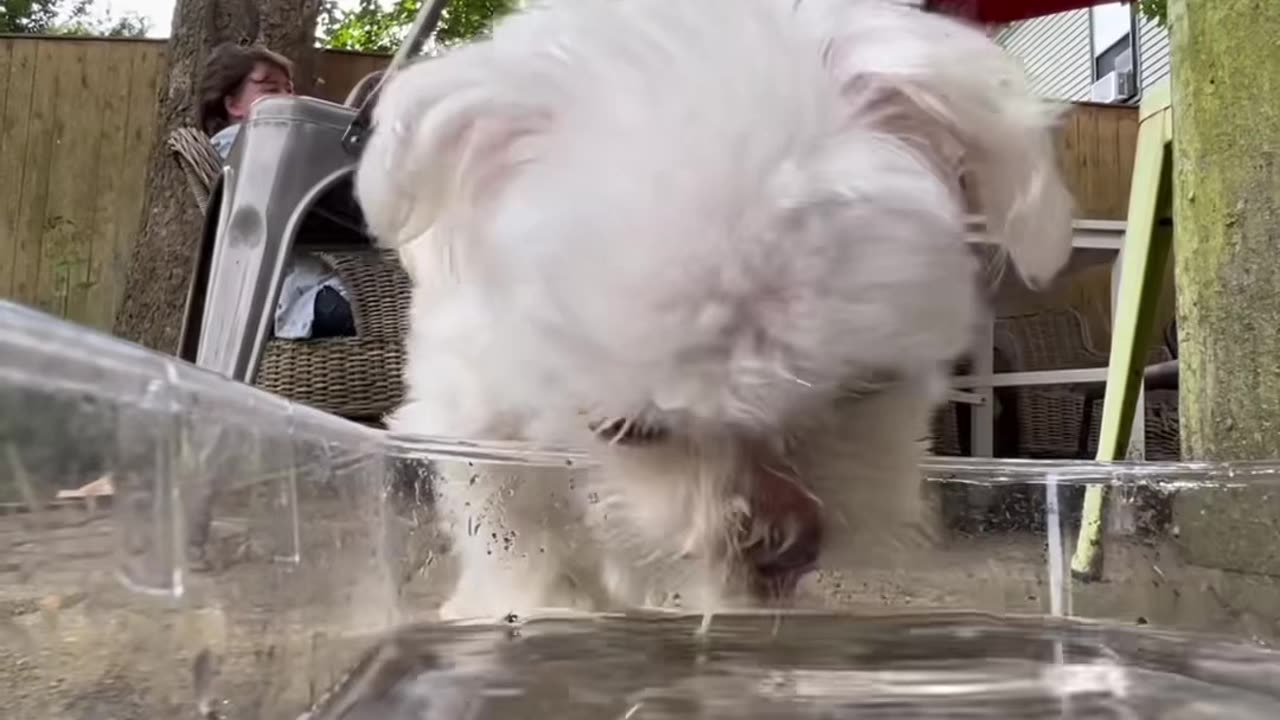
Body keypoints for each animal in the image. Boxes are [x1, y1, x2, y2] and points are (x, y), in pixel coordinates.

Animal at [355, 0, 1075, 617]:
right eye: (628, 429)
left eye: (864, 388)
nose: (786, 543)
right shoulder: (473, 418)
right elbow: (513, 522)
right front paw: (537, 606)